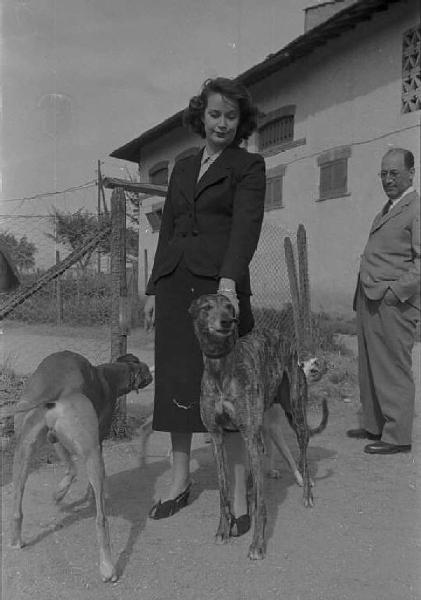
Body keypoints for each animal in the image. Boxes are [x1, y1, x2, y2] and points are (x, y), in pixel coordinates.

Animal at [8, 352, 152, 580]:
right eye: (145, 370)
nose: (152, 376)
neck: (110, 374)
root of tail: (56, 388)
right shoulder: (97, 441)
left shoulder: (55, 440)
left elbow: (71, 469)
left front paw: (59, 494)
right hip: (92, 455)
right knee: (101, 520)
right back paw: (108, 567)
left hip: (22, 453)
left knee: (16, 509)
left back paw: (16, 540)